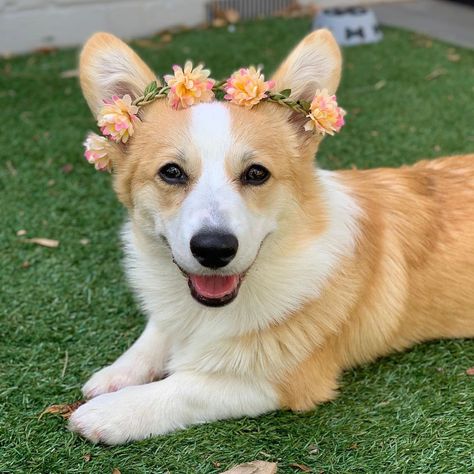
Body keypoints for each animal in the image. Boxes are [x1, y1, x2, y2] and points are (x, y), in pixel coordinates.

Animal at [69, 28, 474, 444]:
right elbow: (156, 332)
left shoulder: (279, 381)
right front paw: (115, 374)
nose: (213, 250)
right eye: (171, 172)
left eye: (256, 173)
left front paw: (111, 411)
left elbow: (184, 387)